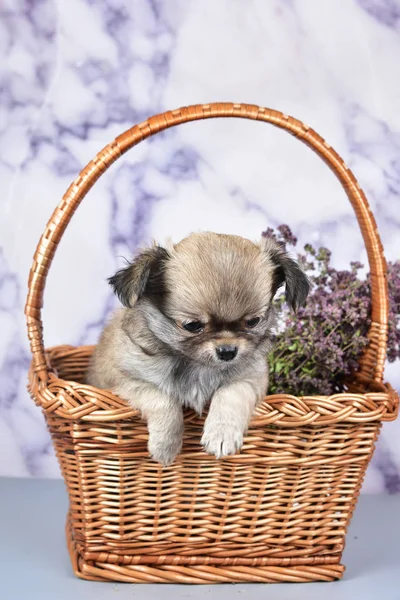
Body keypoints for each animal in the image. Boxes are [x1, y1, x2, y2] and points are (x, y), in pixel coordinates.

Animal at [86, 232, 308, 466]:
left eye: (253, 322)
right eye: (192, 325)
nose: (228, 351)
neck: (197, 365)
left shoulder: (251, 378)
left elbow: (230, 394)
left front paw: (222, 433)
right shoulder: (127, 380)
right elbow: (162, 399)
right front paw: (165, 445)